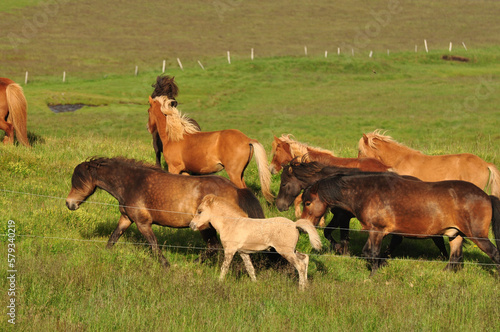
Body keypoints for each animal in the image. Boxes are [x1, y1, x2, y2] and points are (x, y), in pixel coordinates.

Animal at [66, 157, 266, 268]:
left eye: (77, 181)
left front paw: (167, 265)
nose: (69, 204)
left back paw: (190, 264)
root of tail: (236, 189)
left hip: (206, 227)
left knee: (214, 248)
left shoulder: (142, 223)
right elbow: (113, 238)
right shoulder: (126, 219)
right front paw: (104, 255)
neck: (132, 183)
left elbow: (154, 246)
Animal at [189, 193, 322, 290]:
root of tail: (294, 224)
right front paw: (255, 284)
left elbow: (224, 268)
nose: (191, 225)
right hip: (291, 250)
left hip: (285, 251)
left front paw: (219, 282)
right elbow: (250, 269)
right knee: (305, 259)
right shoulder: (243, 253)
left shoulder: (229, 250)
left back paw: (301, 289)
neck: (231, 224)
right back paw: (306, 285)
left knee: (300, 265)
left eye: (200, 211)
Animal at [298, 172, 500, 276]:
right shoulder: (376, 232)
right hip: (455, 234)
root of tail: (486, 196)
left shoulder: (377, 231)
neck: (367, 193)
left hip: (478, 236)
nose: (302, 227)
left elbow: (371, 253)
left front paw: (373, 275)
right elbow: (369, 253)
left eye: (307, 203)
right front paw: (381, 266)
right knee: (455, 258)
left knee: (494, 255)